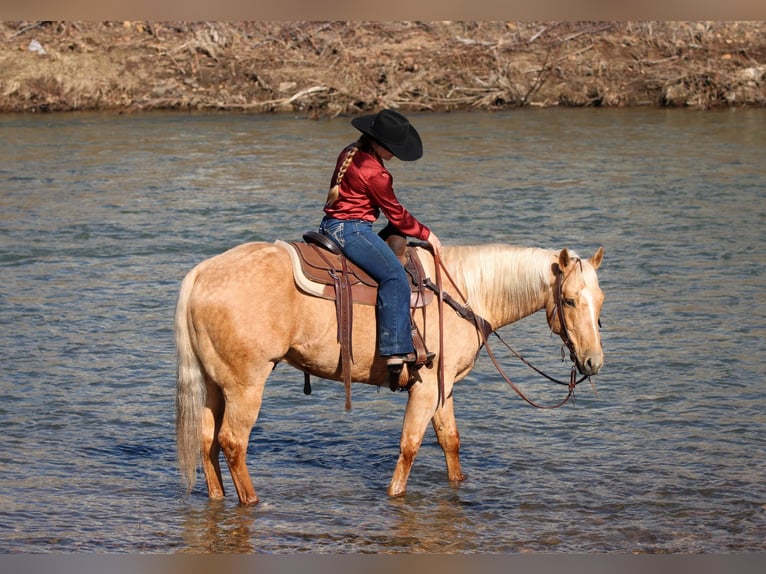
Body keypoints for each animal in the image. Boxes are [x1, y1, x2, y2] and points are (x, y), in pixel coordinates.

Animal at [174, 241, 608, 506]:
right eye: (570, 300)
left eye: (600, 299)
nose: (593, 362)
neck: (463, 293)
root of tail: (201, 274)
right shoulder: (426, 387)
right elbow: (410, 445)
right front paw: (395, 494)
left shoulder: (443, 389)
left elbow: (450, 441)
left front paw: (458, 484)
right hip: (246, 385)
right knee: (232, 442)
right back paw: (252, 501)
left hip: (214, 385)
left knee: (207, 441)